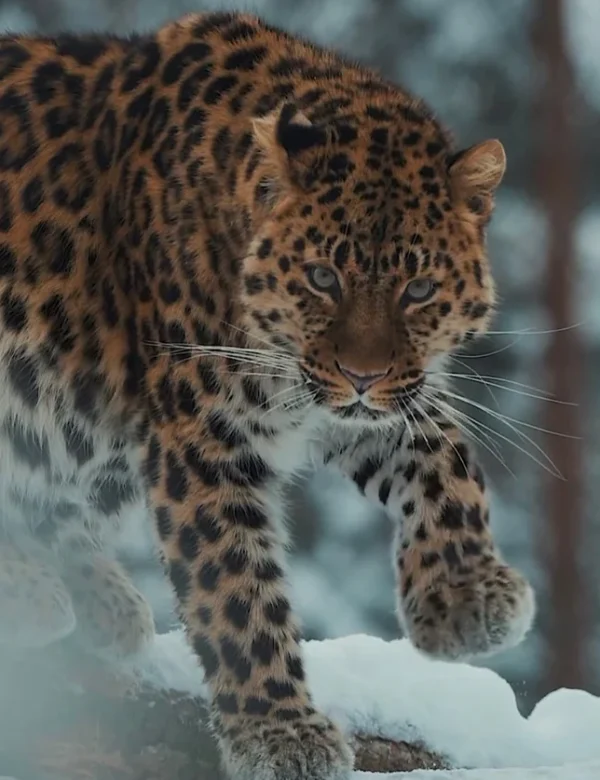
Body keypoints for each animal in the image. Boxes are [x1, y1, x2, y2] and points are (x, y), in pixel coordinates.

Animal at [0, 10, 535, 780]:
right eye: (322, 277)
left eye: (419, 289)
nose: (363, 375)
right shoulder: (204, 431)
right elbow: (234, 587)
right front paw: (280, 733)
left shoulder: (370, 396)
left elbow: (445, 458)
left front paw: (465, 595)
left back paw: (98, 597)